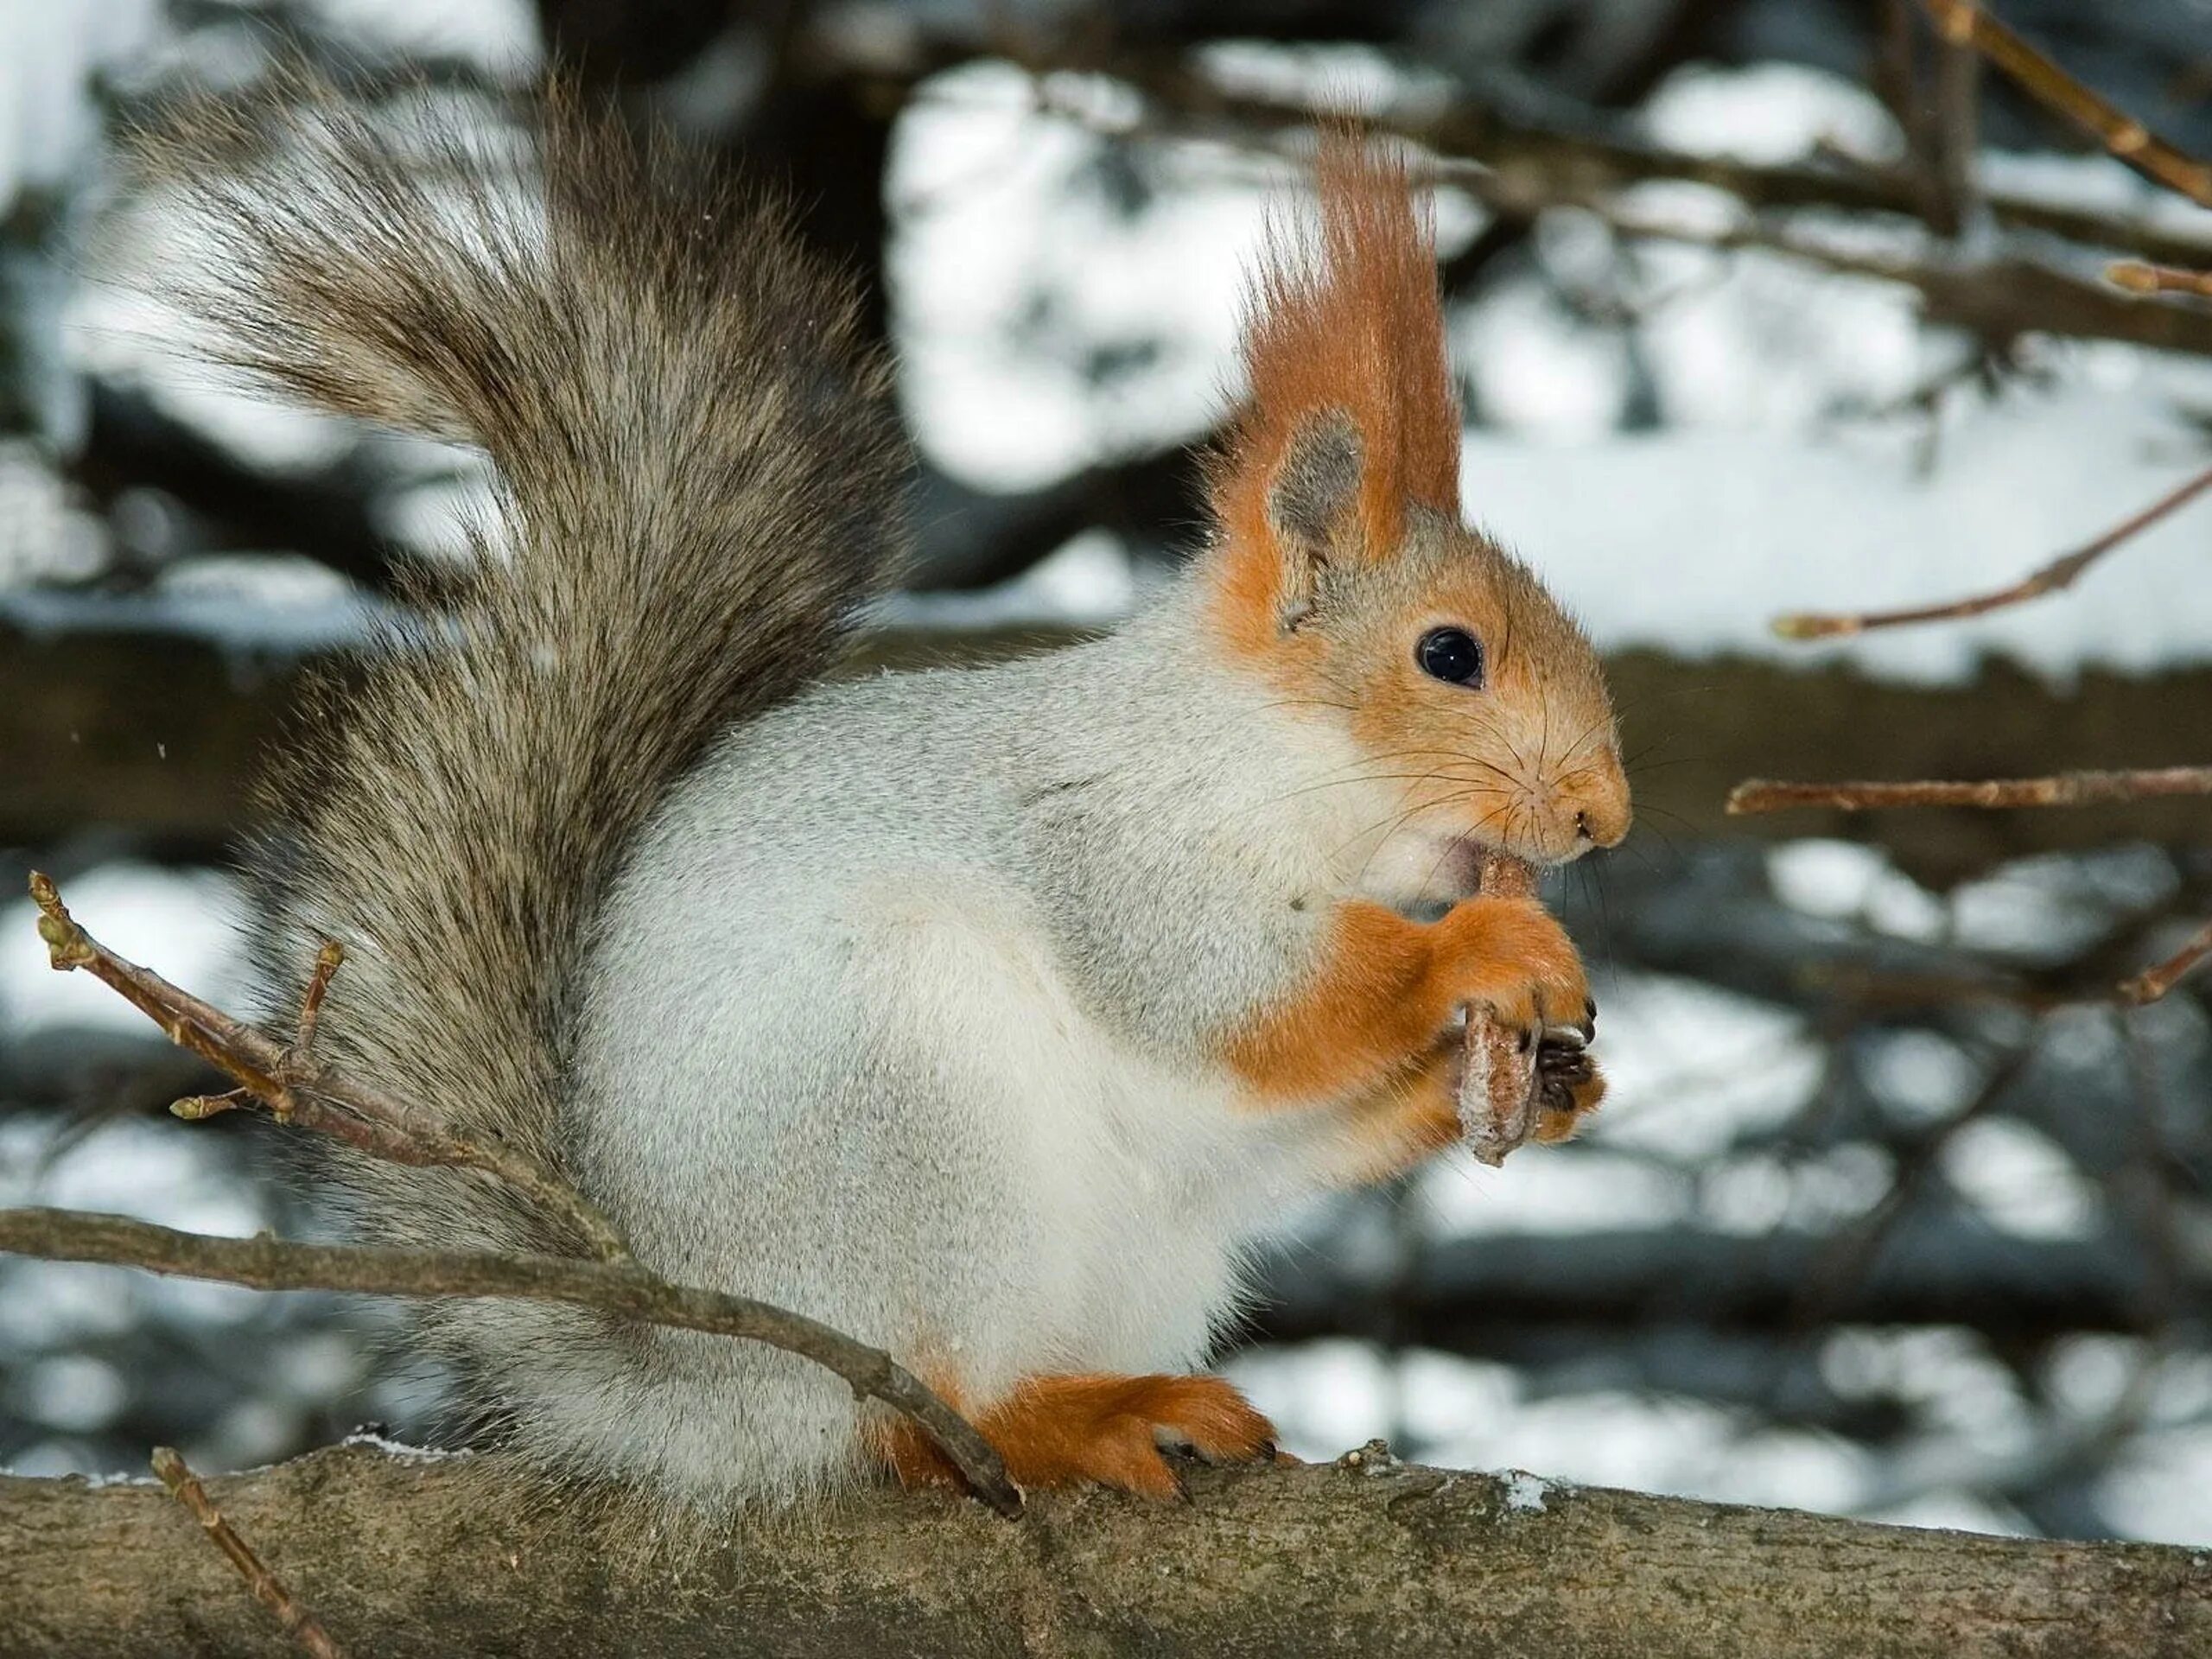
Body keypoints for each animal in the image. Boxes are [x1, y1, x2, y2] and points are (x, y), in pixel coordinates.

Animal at [138, 90, 1628, 1522]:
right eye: (1449, 655)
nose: (1605, 820)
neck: (1265, 757)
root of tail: (703, 1386)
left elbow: (1276, 1126)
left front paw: (1539, 1079)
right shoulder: (1114, 849)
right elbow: (1233, 996)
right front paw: (1485, 951)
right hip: (903, 1104)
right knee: (914, 1419)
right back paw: (1058, 1423)